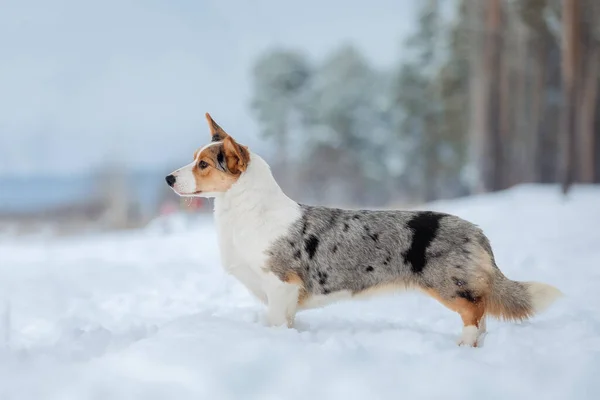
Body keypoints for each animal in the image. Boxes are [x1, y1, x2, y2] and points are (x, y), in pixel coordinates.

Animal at [165, 112, 564, 346]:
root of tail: (477, 231)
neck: (246, 211)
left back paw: (463, 348)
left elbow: (277, 322)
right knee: (482, 321)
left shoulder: (280, 286)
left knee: (474, 315)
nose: (168, 178)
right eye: (194, 159)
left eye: (203, 164)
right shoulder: (285, 298)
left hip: (450, 287)